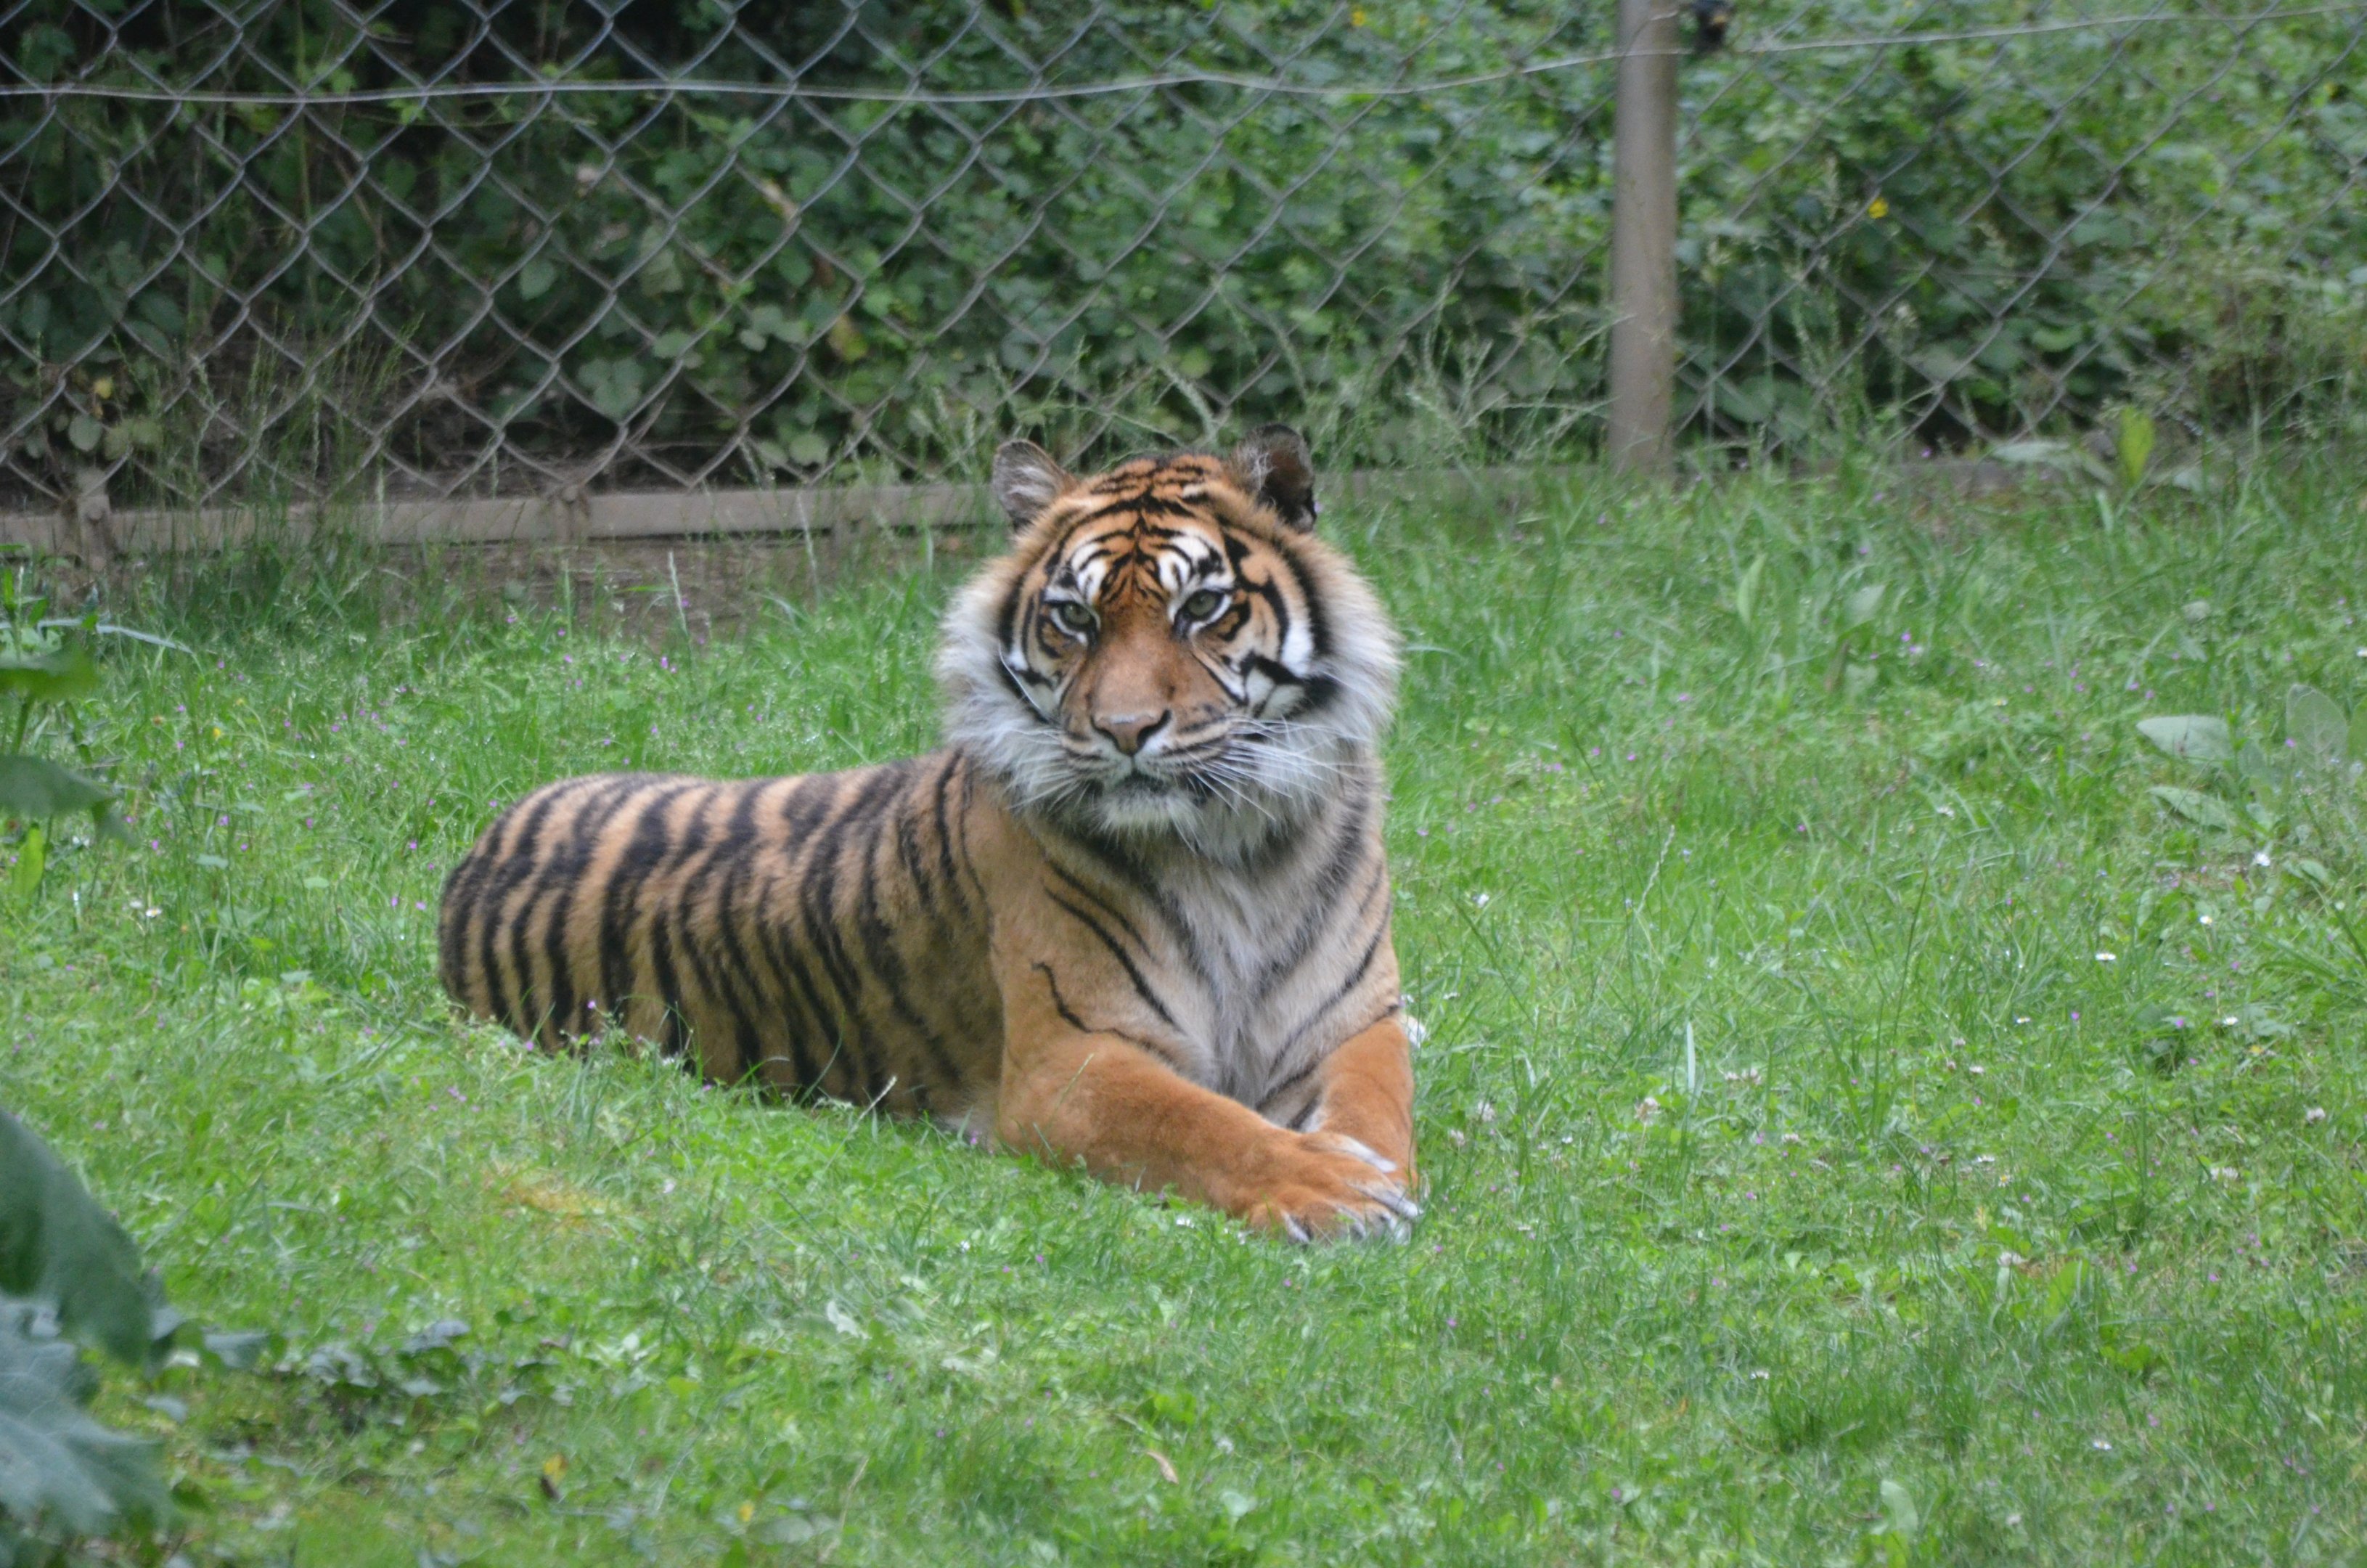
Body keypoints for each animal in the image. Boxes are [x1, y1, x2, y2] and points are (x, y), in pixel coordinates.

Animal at [437, 426, 1417, 1240]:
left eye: (1202, 609)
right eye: (1074, 617)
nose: (1126, 730)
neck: (1234, 848)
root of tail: (479, 853)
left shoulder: (1357, 1021)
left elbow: (1381, 1110)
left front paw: (1371, 1170)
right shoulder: (1071, 1061)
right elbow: (1205, 1125)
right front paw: (1336, 1187)